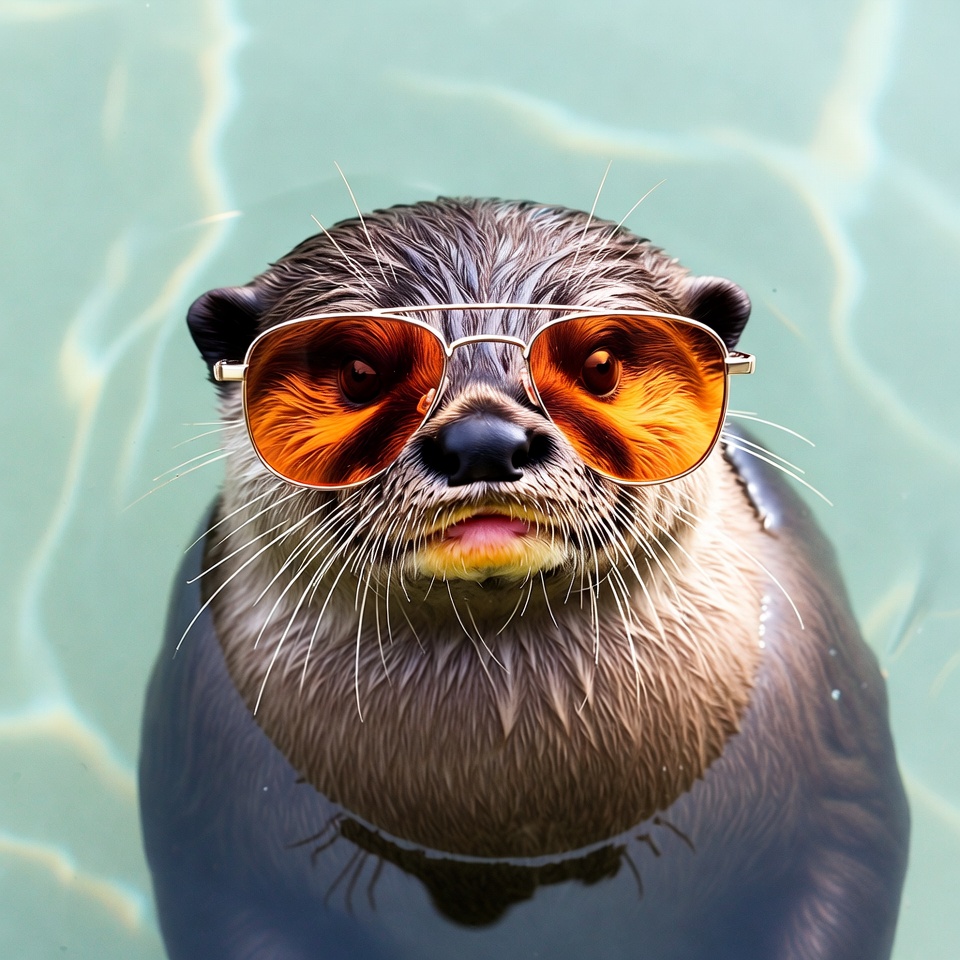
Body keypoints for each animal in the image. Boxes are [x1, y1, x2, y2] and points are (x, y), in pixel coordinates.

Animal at [139, 198, 908, 959]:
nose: (484, 440)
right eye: (360, 372)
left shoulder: (839, 768)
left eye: (600, 364)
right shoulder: (199, 809)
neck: (510, 818)